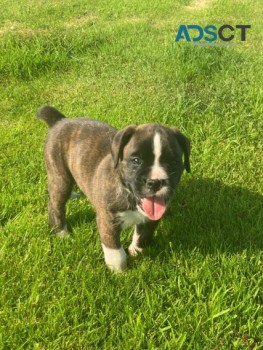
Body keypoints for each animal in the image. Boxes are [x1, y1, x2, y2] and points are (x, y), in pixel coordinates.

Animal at [38, 105, 191, 272]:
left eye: (174, 164)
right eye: (136, 161)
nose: (155, 182)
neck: (129, 194)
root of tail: (61, 121)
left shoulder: (151, 218)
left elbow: (143, 236)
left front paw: (136, 251)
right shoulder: (108, 221)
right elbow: (115, 251)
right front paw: (119, 272)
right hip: (60, 177)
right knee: (56, 204)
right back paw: (62, 233)